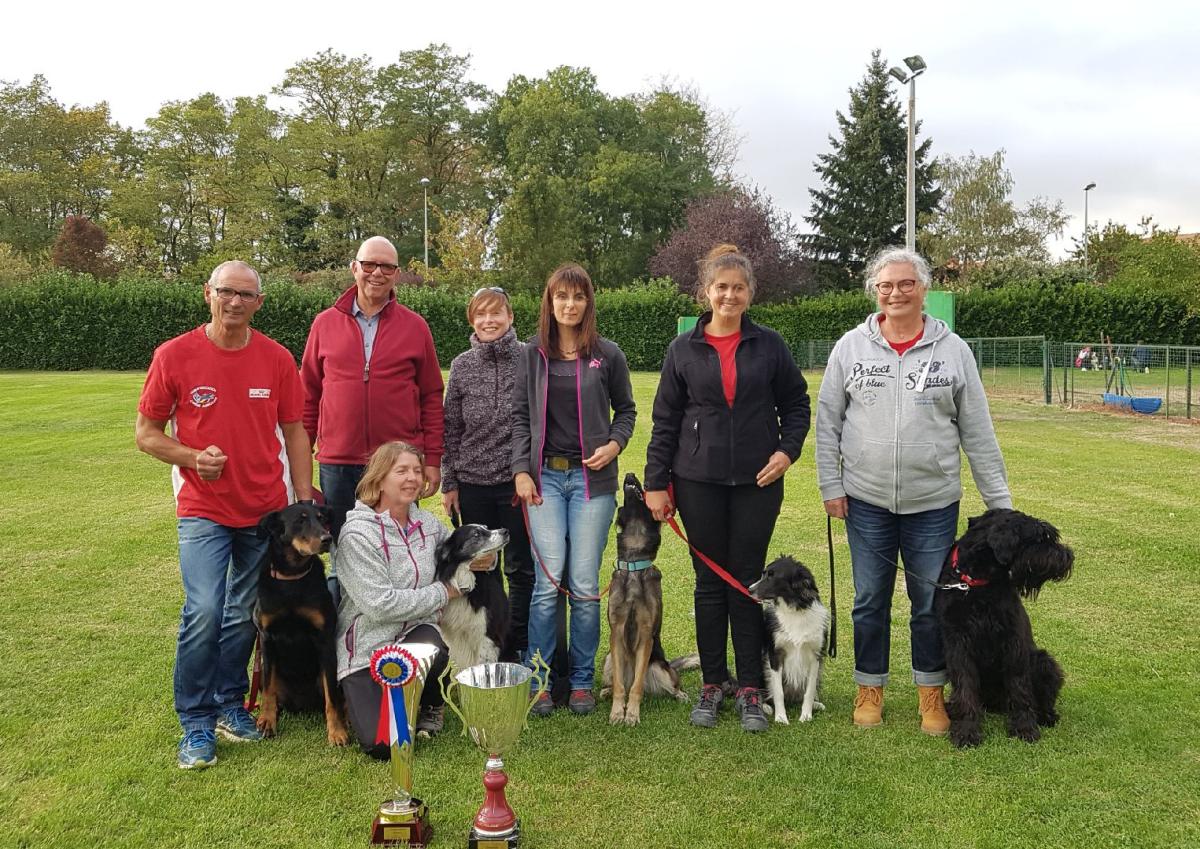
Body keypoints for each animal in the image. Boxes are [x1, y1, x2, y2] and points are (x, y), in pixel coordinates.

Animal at [253, 501, 348, 748]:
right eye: (300, 520)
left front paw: (337, 732)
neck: (292, 578)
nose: (326, 538)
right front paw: (267, 721)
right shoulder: (266, 637)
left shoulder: (324, 638)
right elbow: (268, 690)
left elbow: (331, 698)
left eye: (322, 518)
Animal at [600, 474, 696, 724]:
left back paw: (680, 694)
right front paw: (618, 711)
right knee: (619, 681)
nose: (630, 474)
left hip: (660, 668)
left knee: (664, 682)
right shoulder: (617, 632)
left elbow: (636, 688)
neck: (634, 565)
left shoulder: (645, 635)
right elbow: (620, 687)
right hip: (608, 660)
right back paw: (605, 691)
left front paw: (631, 713)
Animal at [931, 508, 1075, 748]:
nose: (1068, 556)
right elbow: (965, 687)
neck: (976, 584)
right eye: (1040, 538)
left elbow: (1019, 687)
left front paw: (1025, 728)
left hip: (1044, 661)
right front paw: (967, 731)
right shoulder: (958, 645)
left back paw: (1045, 716)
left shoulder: (1013, 642)